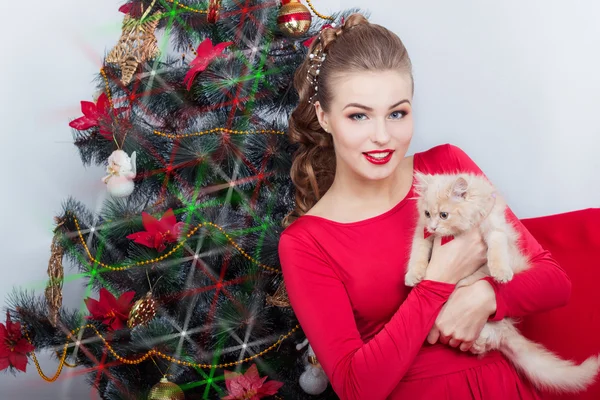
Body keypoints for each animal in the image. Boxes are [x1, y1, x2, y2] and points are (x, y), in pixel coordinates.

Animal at [406, 170, 596, 392]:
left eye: (444, 215)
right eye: (427, 213)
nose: (434, 226)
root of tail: (506, 330)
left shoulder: (494, 225)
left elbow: (496, 247)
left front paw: (501, 272)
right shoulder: (422, 232)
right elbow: (417, 252)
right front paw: (413, 275)